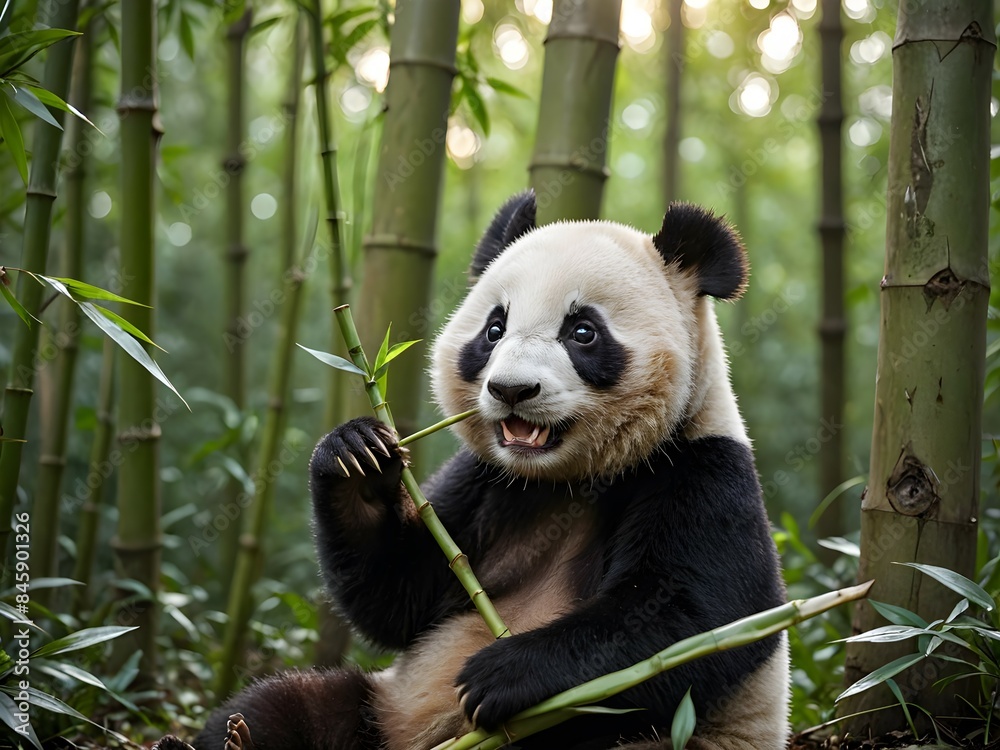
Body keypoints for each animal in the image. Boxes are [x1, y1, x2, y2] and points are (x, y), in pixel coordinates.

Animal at [182, 192, 789, 750]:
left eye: (583, 331)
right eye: (495, 329)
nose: (512, 389)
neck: (564, 480)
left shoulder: (700, 470)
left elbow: (694, 624)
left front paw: (501, 674)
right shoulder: (485, 482)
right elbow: (399, 598)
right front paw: (357, 456)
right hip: (383, 707)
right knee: (286, 706)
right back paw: (230, 736)